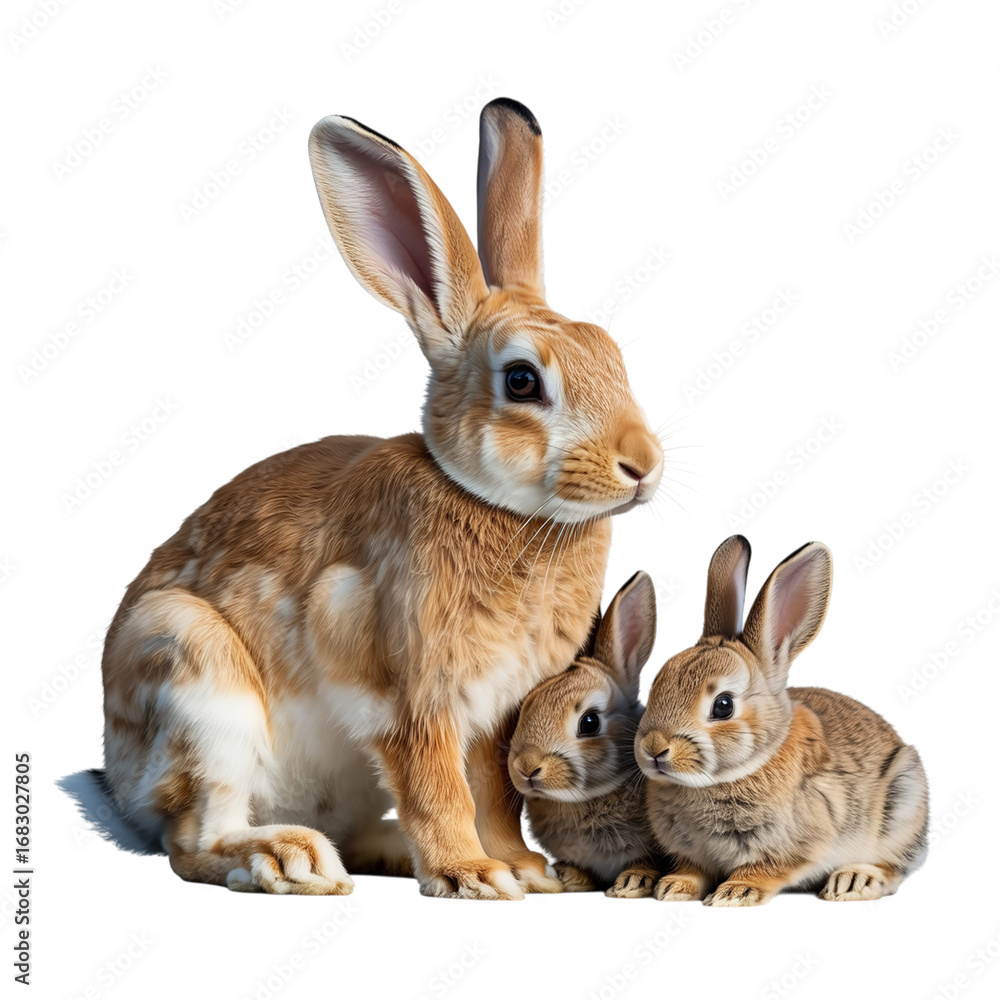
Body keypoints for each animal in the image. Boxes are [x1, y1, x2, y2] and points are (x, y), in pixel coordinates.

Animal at [636, 535, 928, 906]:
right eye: (656, 685)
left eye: (723, 706)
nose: (654, 749)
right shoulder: (693, 853)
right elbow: (693, 870)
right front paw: (674, 887)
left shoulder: (797, 843)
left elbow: (765, 869)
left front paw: (735, 893)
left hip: (903, 800)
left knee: (893, 868)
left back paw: (853, 881)